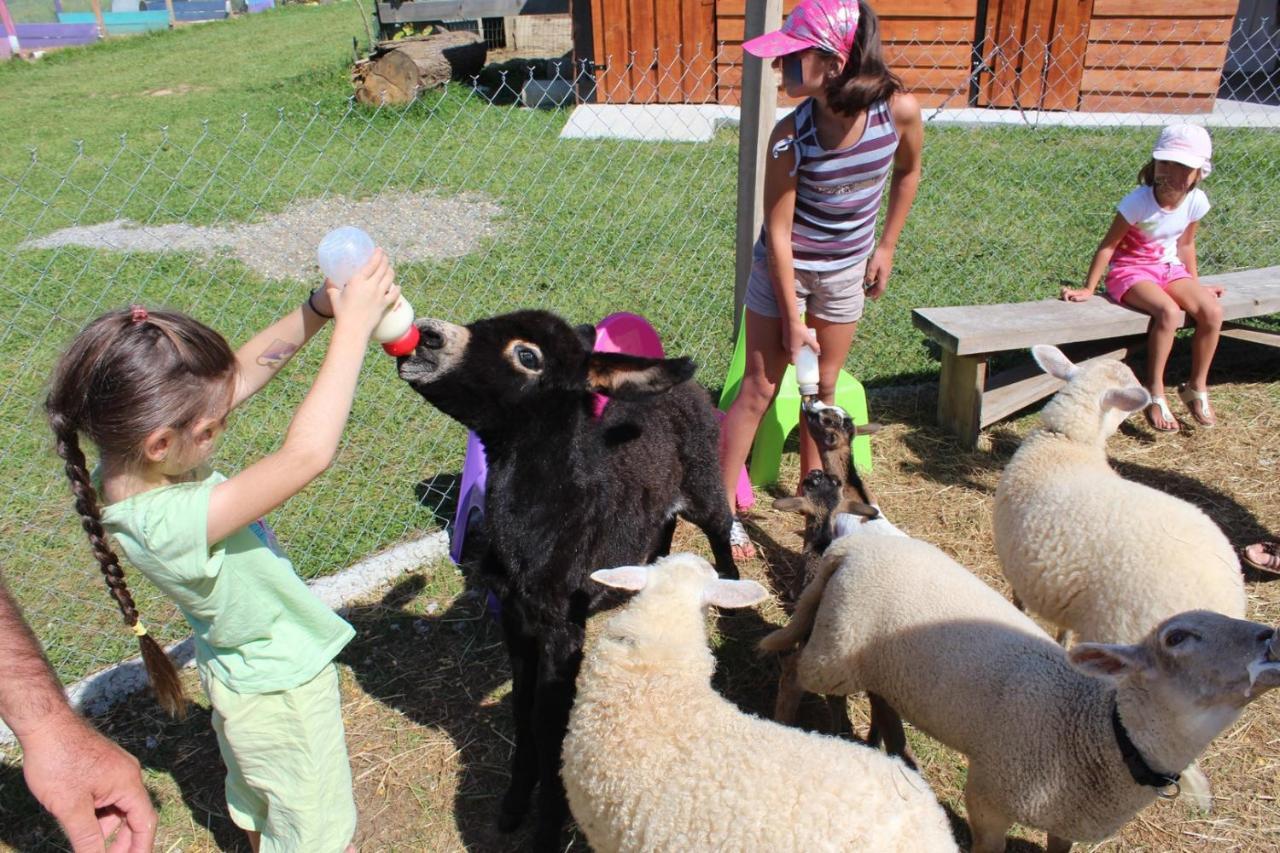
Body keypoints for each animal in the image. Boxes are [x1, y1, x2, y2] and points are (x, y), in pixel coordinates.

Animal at [757, 532, 1280, 850]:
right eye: (1177, 637)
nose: (1271, 638)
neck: (1098, 734)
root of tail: (853, 544)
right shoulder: (989, 798)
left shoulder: (1067, 819)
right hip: (837, 645)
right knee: (793, 670)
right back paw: (783, 724)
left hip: (865, 656)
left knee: (875, 695)